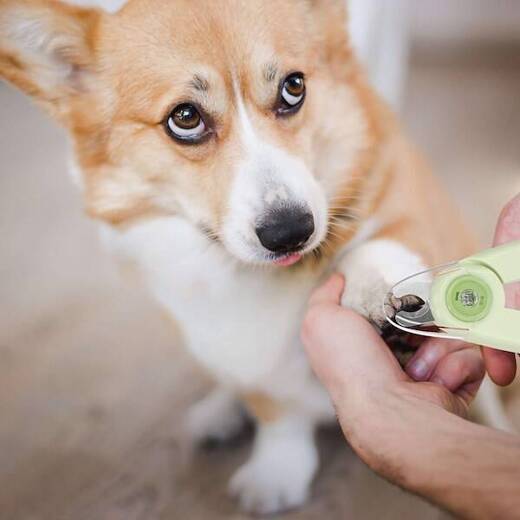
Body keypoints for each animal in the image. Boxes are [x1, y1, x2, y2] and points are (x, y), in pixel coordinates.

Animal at [0, 0, 512, 512]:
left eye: (294, 87)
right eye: (185, 117)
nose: (291, 232)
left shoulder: (408, 204)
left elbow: (378, 244)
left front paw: (380, 293)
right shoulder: (234, 346)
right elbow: (276, 411)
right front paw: (276, 470)